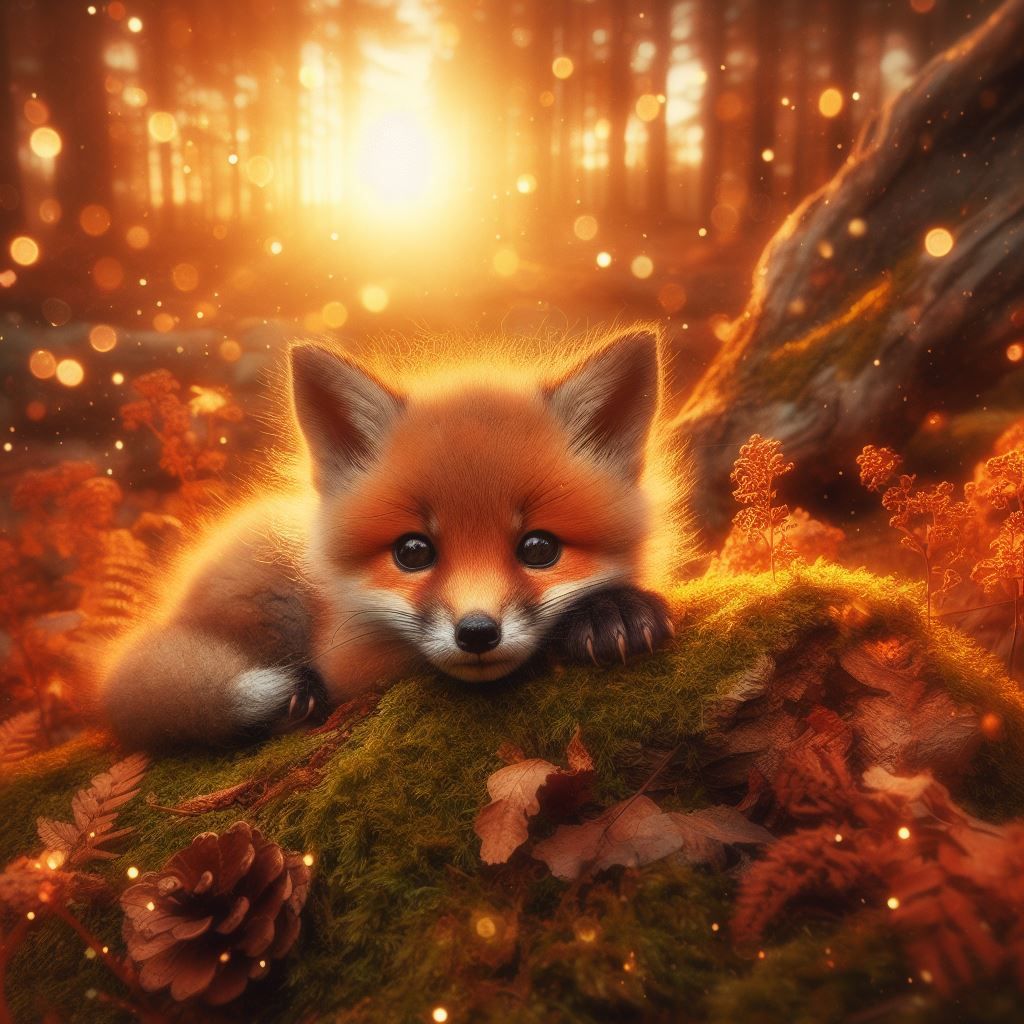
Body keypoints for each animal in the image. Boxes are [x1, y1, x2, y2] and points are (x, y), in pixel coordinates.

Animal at [100, 327, 688, 750]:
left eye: (539, 549)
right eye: (412, 552)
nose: (477, 633)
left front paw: (612, 610)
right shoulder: (352, 660)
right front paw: (602, 616)